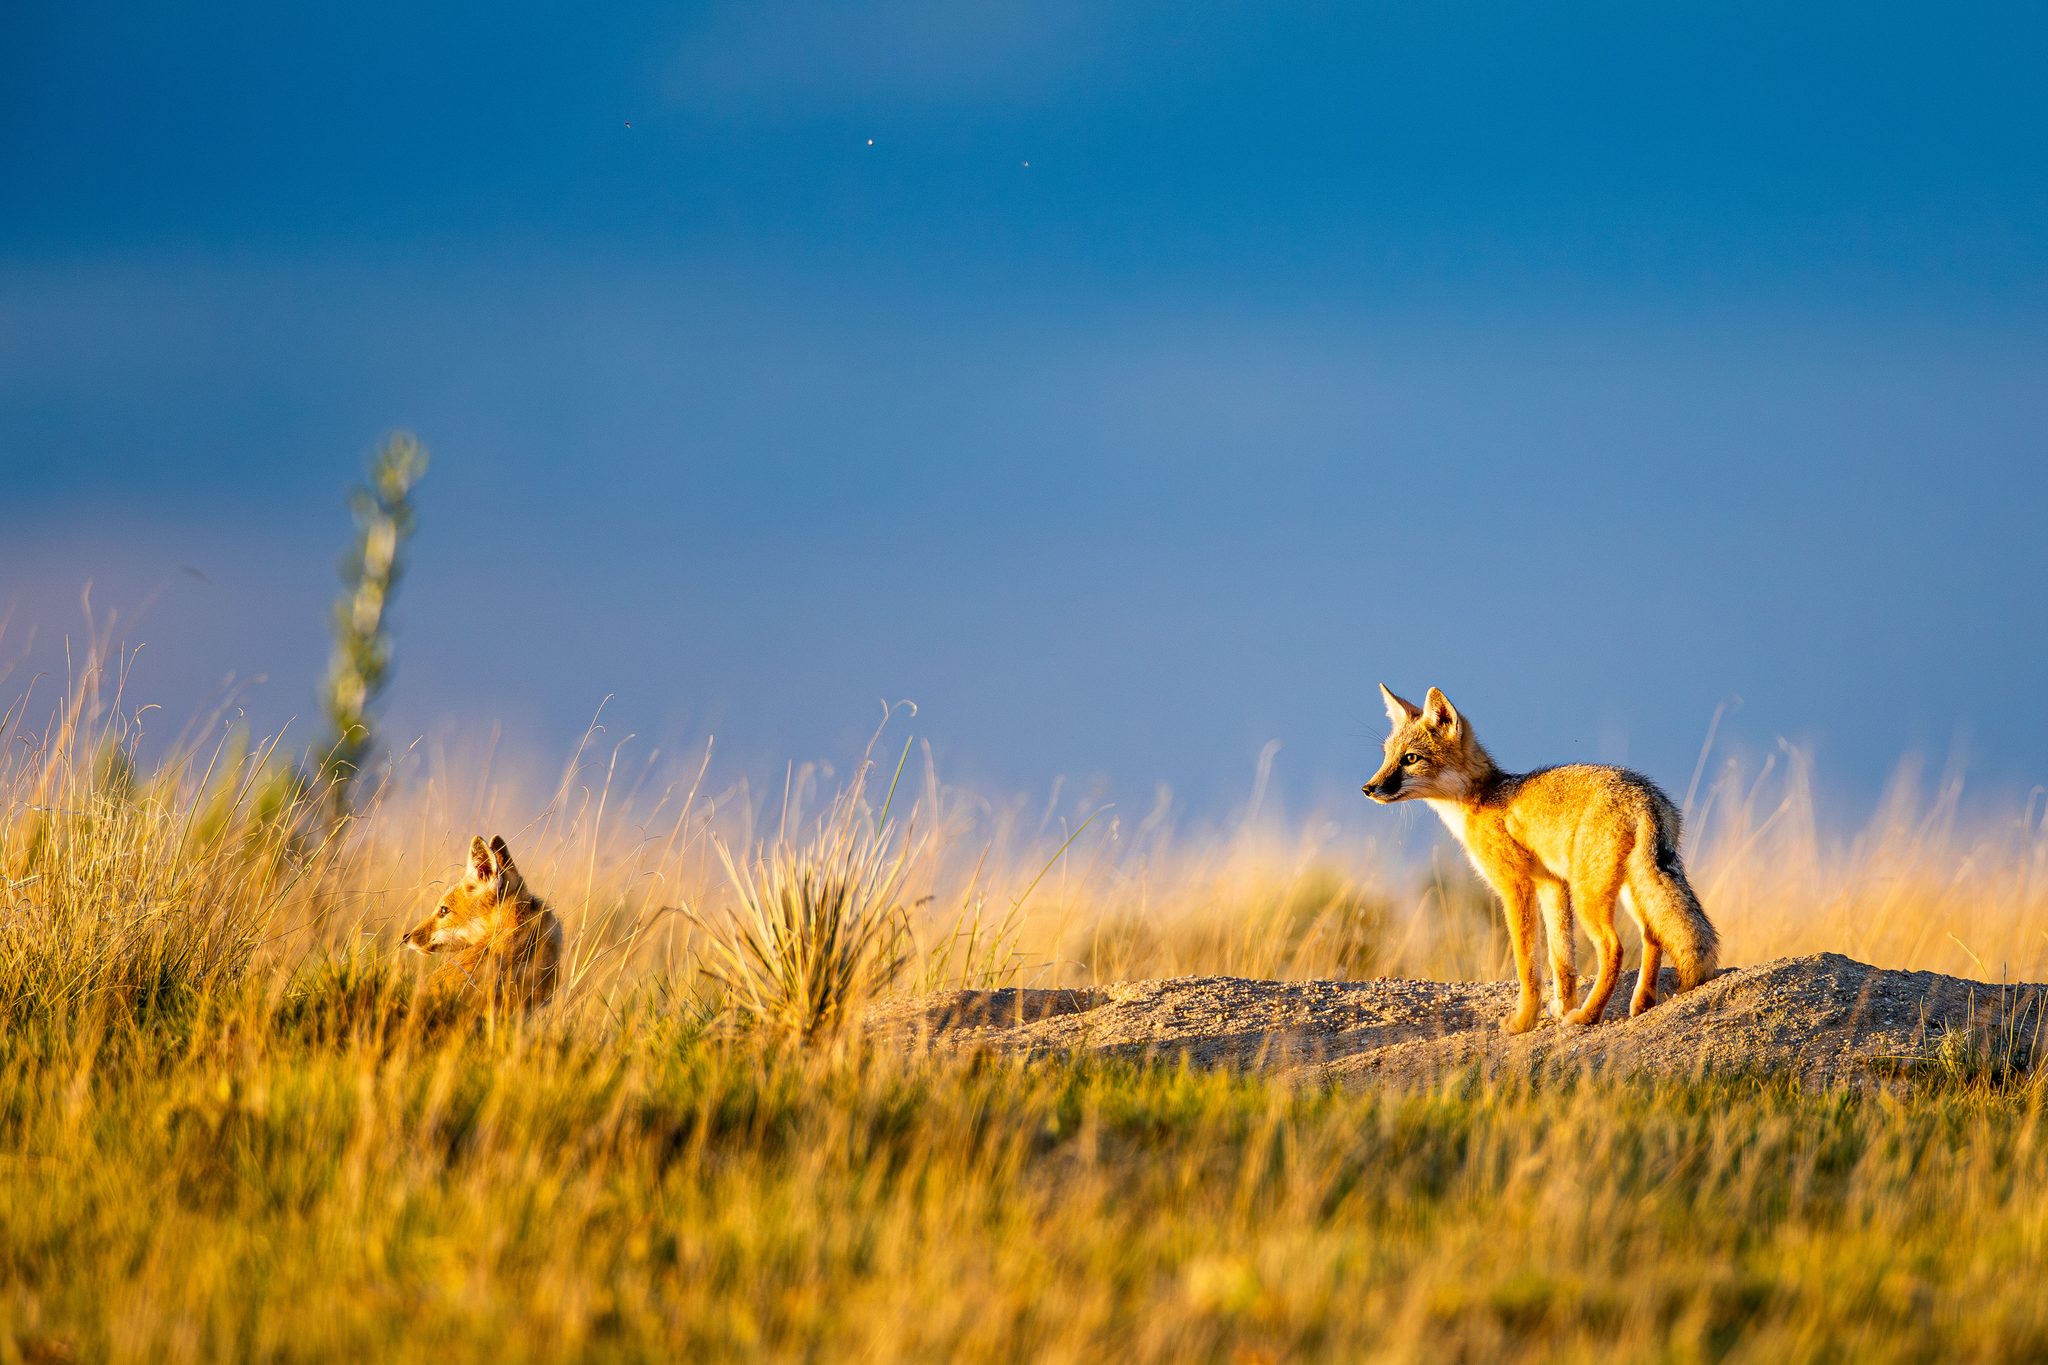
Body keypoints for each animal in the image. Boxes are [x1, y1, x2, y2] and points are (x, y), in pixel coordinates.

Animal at [1363, 685, 1719, 1034]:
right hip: (1629, 890)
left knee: (1614, 947)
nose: (1369, 788)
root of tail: (1644, 796)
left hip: (1591, 898)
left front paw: (1524, 1021)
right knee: (1653, 936)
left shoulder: (1515, 887)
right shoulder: (1552, 885)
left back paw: (1587, 1016)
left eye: (1410, 759)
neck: (1480, 800)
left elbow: (1527, 964)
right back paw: (1640, 1004)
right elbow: (1561, 959)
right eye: (1387, 756)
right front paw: (1560, 1008)